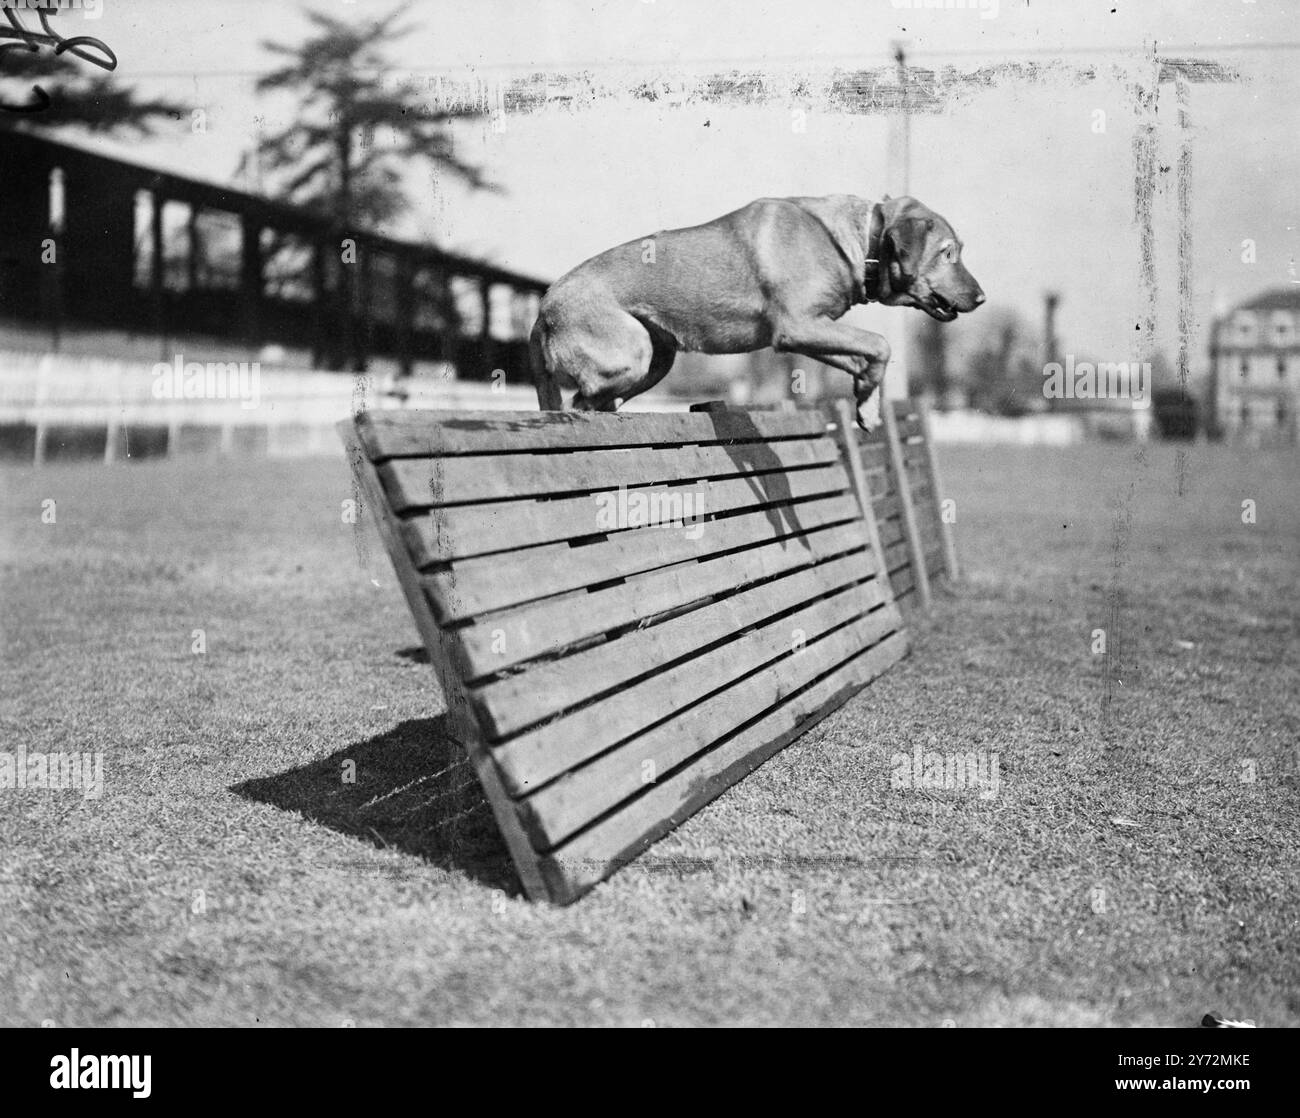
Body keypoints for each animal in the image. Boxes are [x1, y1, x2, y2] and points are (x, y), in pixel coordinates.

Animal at [527, 193, 982, 426]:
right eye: (948, 253)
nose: (981, 298)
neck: (860, 240)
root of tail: (543, 305)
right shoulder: (796, 327)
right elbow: (882, 344)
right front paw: (868, 396)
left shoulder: (810, 332)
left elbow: (863, 357)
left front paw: (865, 401)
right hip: (632, 354)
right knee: (577, 404)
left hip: (659, 359)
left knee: (593, 402)